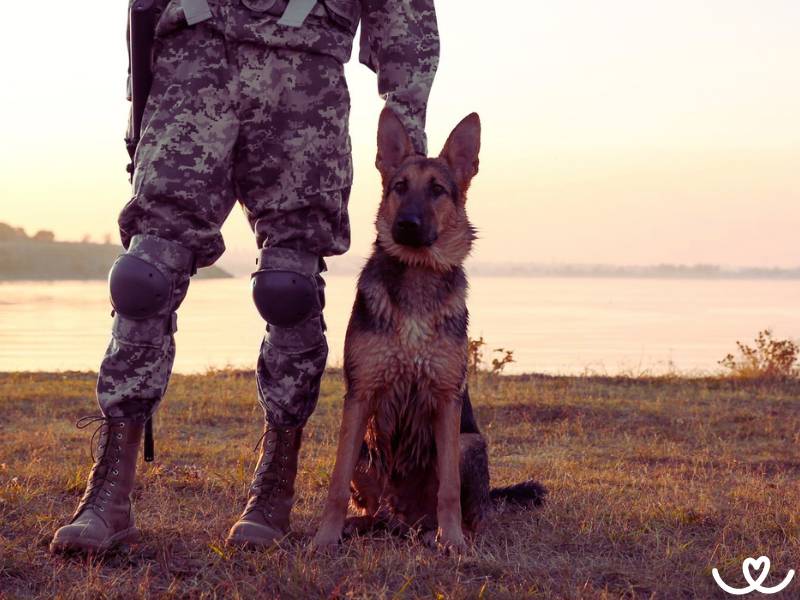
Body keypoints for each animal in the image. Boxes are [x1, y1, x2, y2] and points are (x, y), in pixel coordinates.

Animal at [312, 109, 544, 552]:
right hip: (367, 450)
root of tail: (402, 518)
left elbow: (448, 489)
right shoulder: (361, 396)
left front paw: (451, 541)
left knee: (469, 510)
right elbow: (334, 481)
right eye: (400, 187)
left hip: (470, 443)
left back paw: (450, 532)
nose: (406, 225)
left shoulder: (446, 398)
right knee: (372, 507)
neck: (418, 274)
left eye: (437, 190)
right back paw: (361, 523)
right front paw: (325, 537)